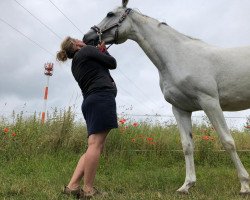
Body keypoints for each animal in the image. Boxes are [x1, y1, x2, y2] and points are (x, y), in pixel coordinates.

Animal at [83, 0, 250, 194]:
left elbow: (227, 141)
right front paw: (186, 185)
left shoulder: (210, 102)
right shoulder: (180, 108)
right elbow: (187, 146)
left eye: (110, 14)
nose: (87, 37)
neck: (179, 56)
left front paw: (244, 185)